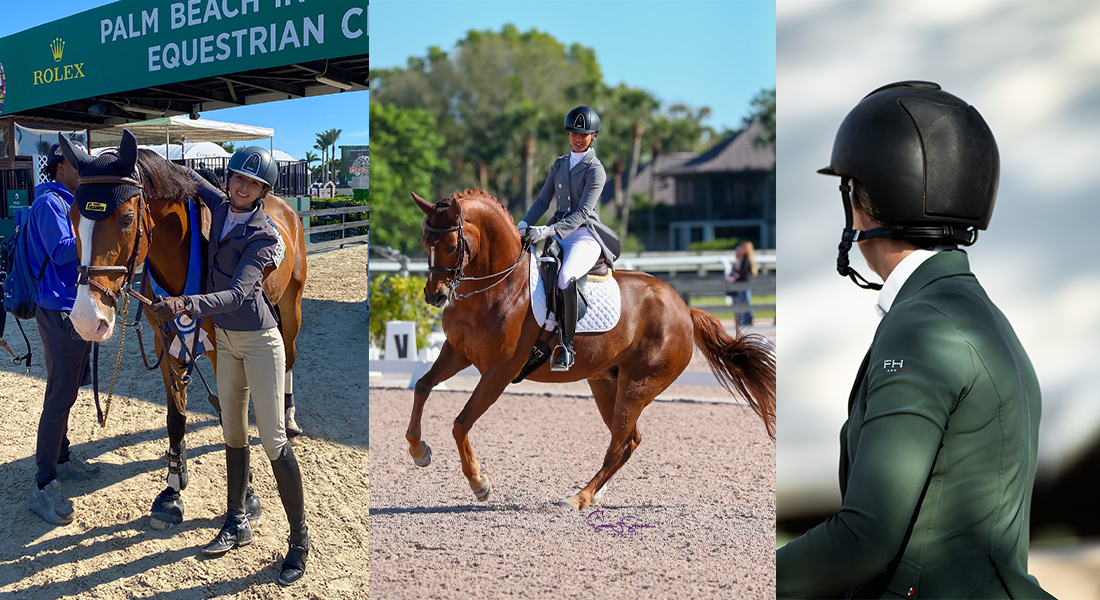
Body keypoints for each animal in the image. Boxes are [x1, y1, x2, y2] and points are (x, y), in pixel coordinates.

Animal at [407, 189, 775, 511]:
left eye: (451, 244)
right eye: (425, 241)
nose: (435, 296)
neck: (497, 286)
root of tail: (684, 309)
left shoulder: (499, 371)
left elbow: (461, 422)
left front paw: (479, 484)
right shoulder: (458, 352)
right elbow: (422, 386)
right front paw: (418, 450)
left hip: (638, 386)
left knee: (619, 445)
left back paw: (578, 498)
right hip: (606, 383)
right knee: (628, 441)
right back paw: (595, 493)